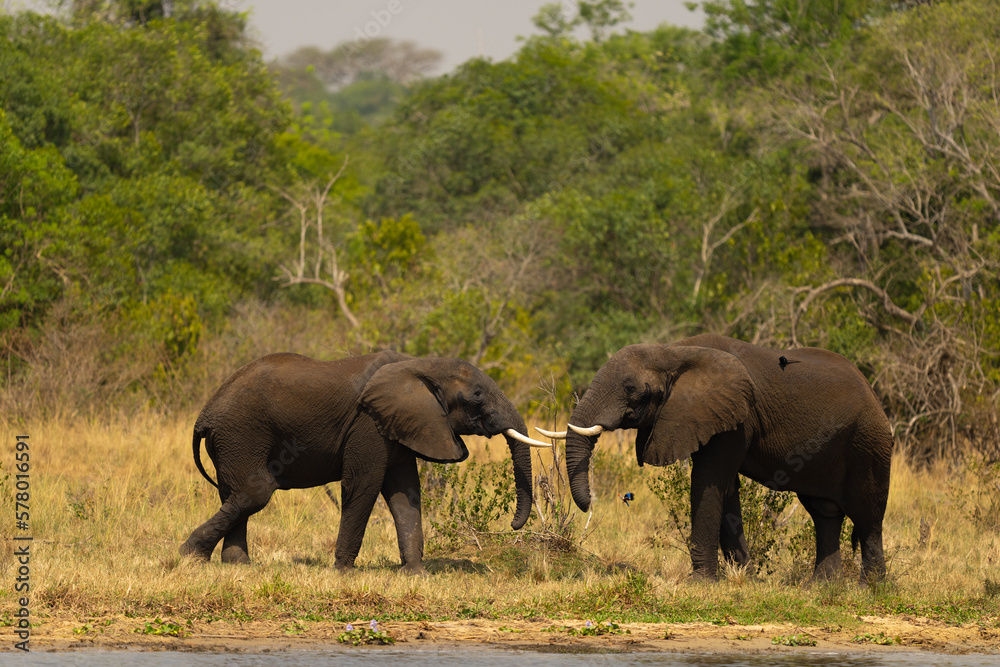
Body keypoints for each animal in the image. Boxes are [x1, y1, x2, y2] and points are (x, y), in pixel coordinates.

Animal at [179, 350, 550, 575]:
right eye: (476, 396)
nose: (514, 525)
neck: (422, 364)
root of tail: (204, 414)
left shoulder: (400, 425)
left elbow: (405, 493)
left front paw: (416, 574)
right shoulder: (368, 424)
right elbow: (364, 484)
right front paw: (345, 571)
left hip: (231, 441)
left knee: (234, 494)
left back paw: (237, 566)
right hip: (241, 434)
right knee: (255, 493)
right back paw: (190, 556)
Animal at [548, 333, 892, 582]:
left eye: (632, 389)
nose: (590, 505)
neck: (674, 351)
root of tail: (874, 392)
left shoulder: (737, 418)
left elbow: (708, 482)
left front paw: (699, 583)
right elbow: (725, 489)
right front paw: (747, 579)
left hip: (868, 441)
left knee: (867, 515)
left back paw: (870, 588)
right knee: (825, 513)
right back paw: (821, 587)